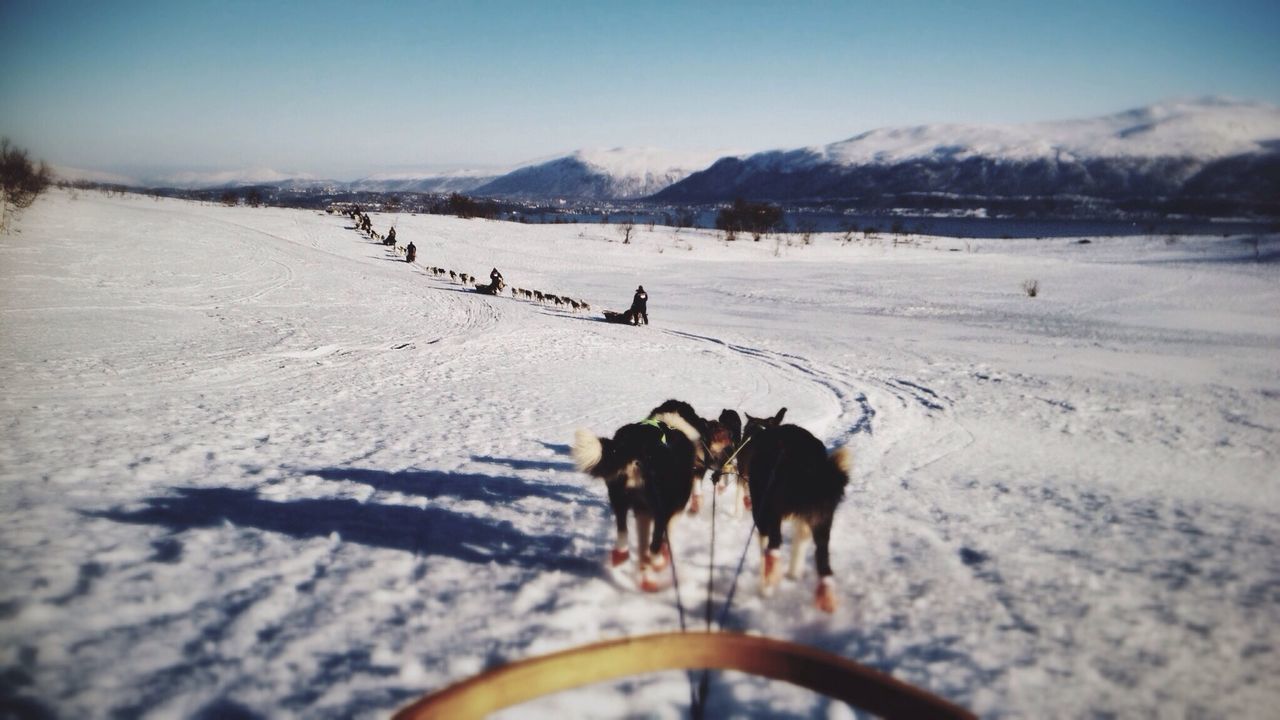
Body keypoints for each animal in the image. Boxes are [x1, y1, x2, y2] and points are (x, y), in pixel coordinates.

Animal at [576, 409, 701, 589]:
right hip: (660, 506)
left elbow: (643, 547)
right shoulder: (673, 507)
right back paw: (658, 561)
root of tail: (635, 443)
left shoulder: (643, 512)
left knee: (622, 528)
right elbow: (662, 539)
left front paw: (644, 572)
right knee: (654, 544)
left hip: (619, 497)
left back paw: (621, 555)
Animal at [742, 415, 849, 609]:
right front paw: (792, 575)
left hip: (769, 509)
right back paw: (826, 594)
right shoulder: (804, 523)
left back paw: (768, 580)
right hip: (822, 520)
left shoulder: (762, 516)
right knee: (823, 561)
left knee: (774, 544)